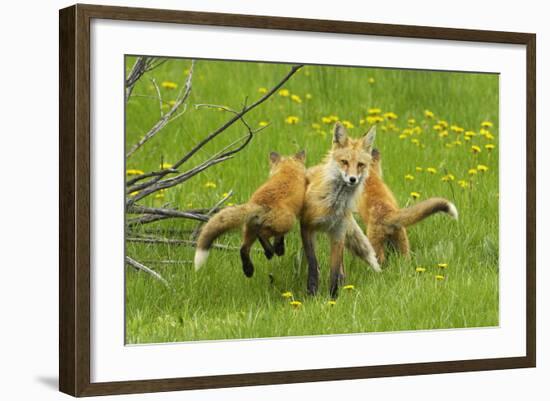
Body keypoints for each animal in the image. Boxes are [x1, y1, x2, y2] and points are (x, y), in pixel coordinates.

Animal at [195, 150, 308, 278]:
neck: (287, 170)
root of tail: (257, 204)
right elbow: (279, 238)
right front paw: (279, 249)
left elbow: (279, 239)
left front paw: (279, 249)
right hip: (286, 223)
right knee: (262, 234)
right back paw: (269, 252)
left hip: (250, 230)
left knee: (243, 248)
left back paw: (249, 269)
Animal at [300, 122, 382, 296]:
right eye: (344, 162)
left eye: (360, 165)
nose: (352, 179)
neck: (333, 205)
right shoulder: (307, 226)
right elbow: (313, 264)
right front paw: (312, 292)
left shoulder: (338, 233)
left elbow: (334, 271)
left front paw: (333, 296)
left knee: (342, 268)